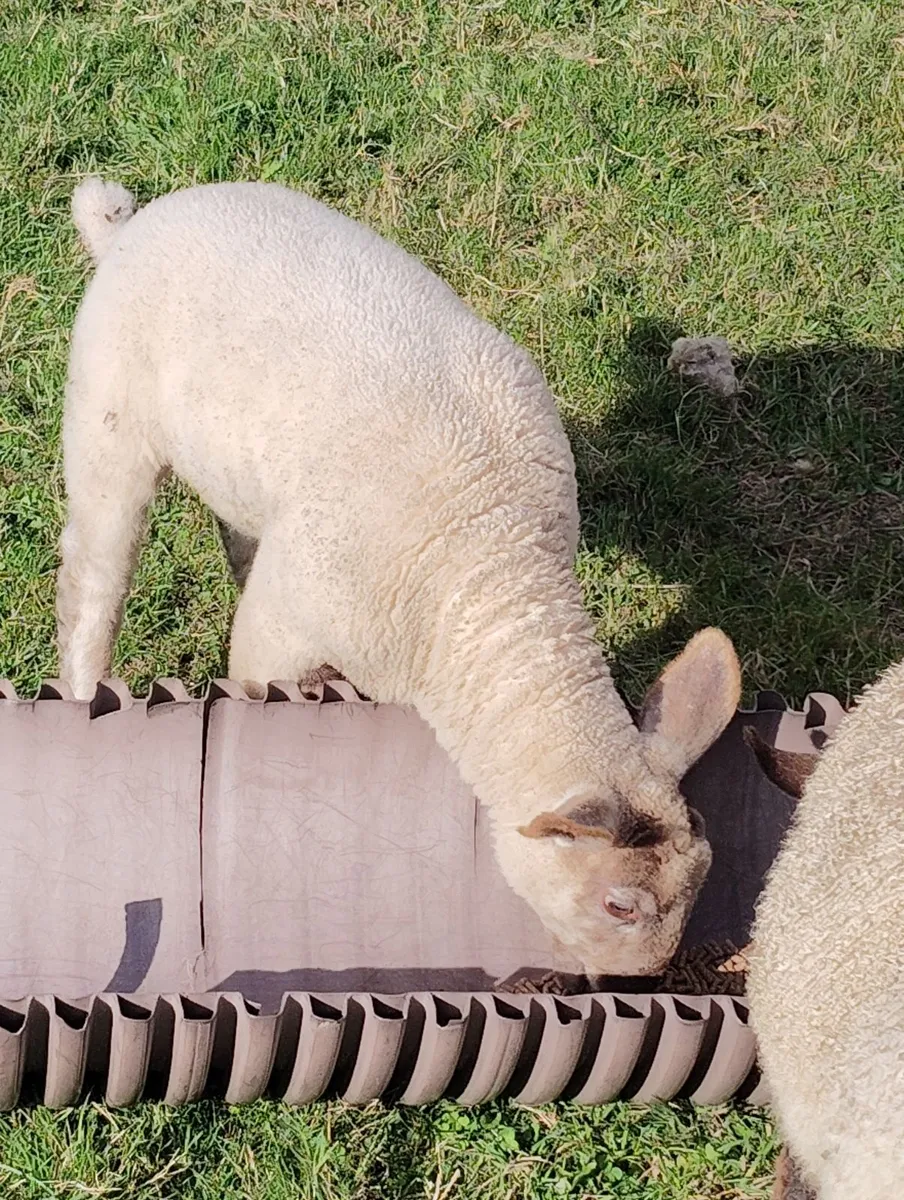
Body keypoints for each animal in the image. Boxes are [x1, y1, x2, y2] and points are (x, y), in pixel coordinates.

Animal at [58, 176, 742, 977]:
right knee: (93, 578)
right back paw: (81, 693)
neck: (491, 573)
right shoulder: (281, 627)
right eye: (619, 906)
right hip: (108, 419)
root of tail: (130, 222)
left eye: (702, 886)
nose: (637, 981)